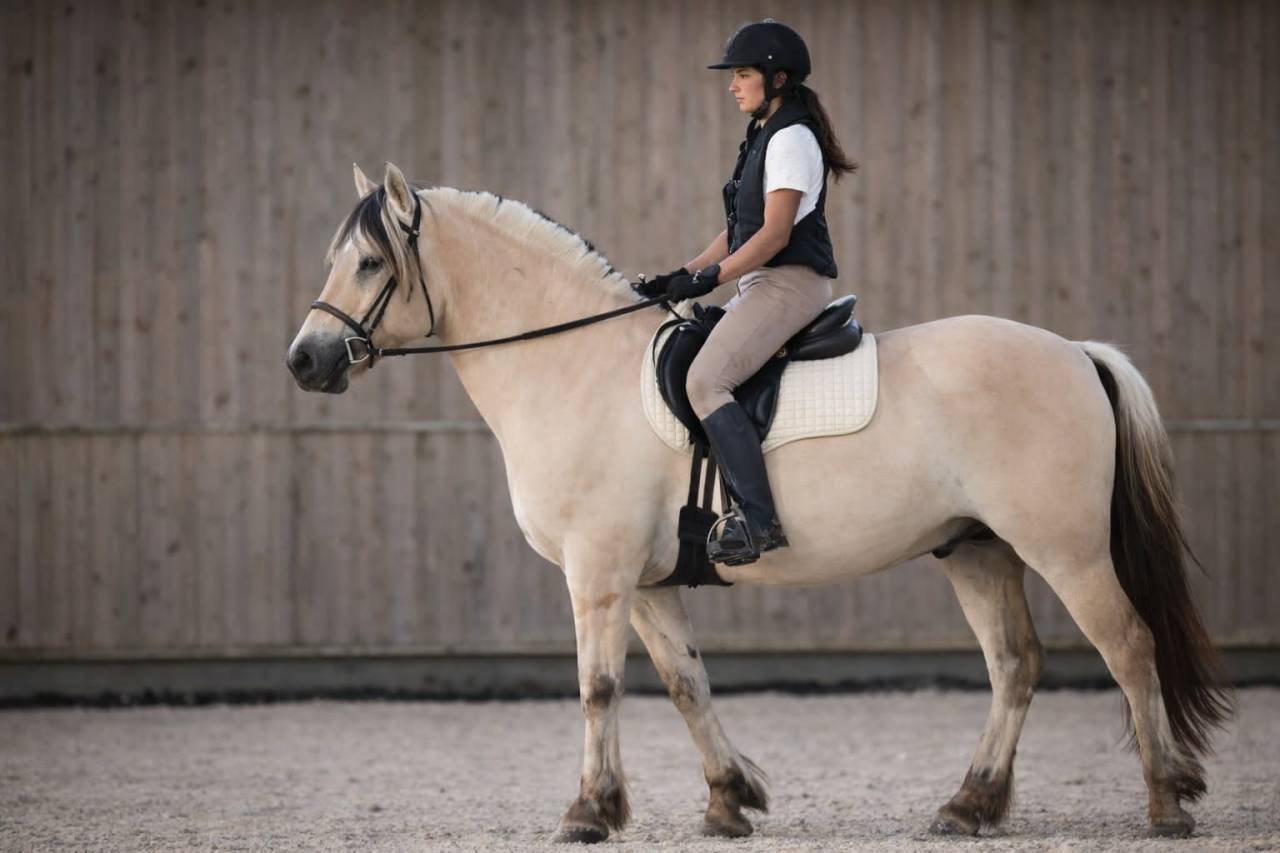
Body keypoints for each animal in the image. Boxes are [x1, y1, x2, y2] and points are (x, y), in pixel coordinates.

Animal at [287, 162, 1232, 843]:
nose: (305, 360)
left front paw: (588, 812)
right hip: (976, 547)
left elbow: (598, 687)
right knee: (1015, 664)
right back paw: (969, 806)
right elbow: (685, 683)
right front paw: (728, 800)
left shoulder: (598, 572)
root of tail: (1074, 350)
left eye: (368, 262)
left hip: (1063, 548)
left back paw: (1165, 802)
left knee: (1128, 645)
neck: (574, 367)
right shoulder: (648, 582)